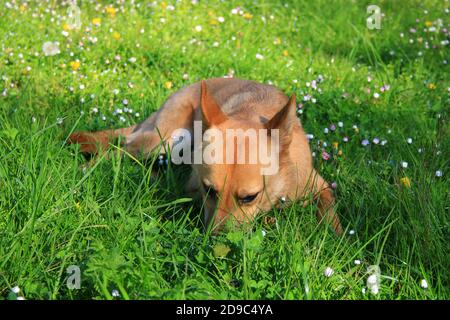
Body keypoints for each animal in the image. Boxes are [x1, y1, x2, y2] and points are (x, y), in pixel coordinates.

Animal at [68, 77, 342, 232]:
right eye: (209, 191)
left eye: (249, 198)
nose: (217, 248)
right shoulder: (191, 186)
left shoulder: (318, 186)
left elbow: (329, 210)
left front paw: (333, 236)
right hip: (162, 140)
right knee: (121, 149)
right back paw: (85, 170)